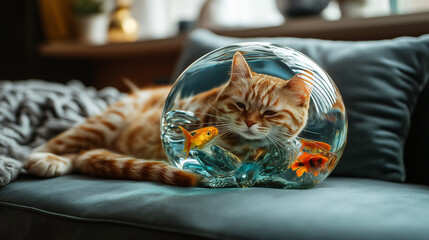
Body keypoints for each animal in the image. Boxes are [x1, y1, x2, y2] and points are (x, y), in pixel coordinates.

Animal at [24, 51, 310, 187]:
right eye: (240, 105)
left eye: (269, 113)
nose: (249, 123)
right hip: (108, 120)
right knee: (53, 147)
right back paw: (41, 159)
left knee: (82, 155)